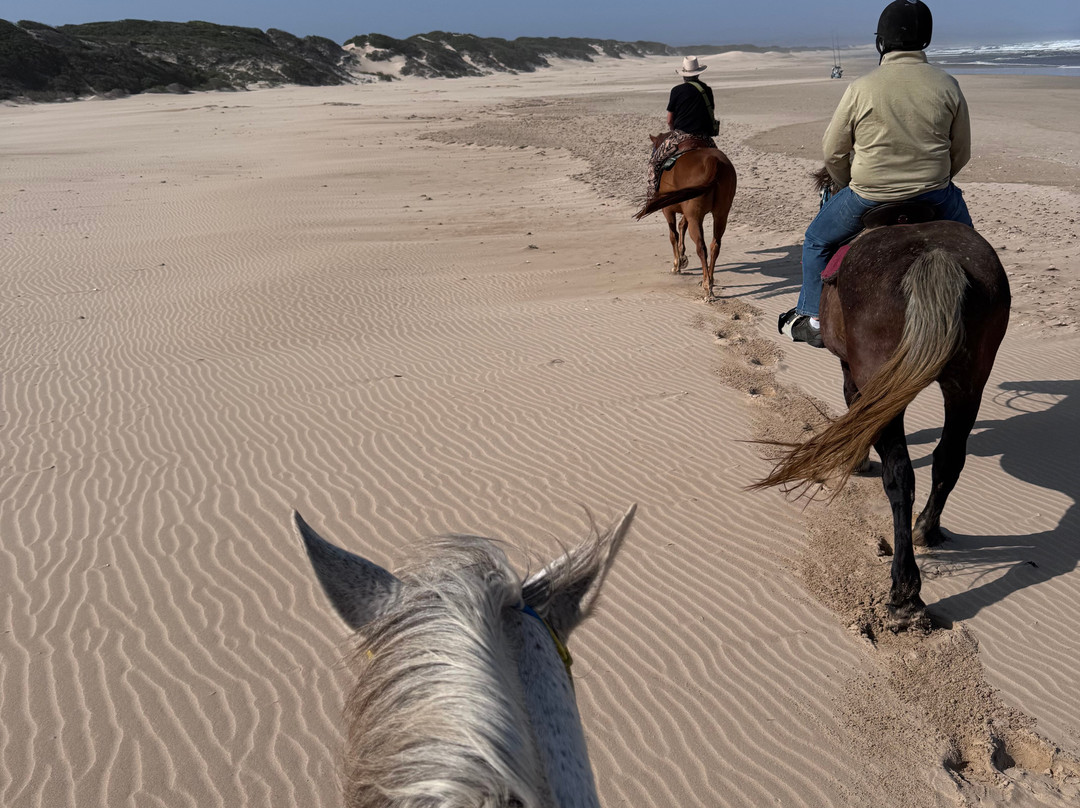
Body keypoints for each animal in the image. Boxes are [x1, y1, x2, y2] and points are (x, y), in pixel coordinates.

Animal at [635, 135, 737, 302]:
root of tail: (713, 161)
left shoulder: (668, 210)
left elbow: (673, 235)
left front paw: (677, 264)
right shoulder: (686, 211)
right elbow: (682, 226)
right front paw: (682, 258)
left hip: (696, 217)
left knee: (701, 247)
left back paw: (707, 286)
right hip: (721, 214)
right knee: (715, 246)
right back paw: (710, 280)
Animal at [753, 173, 1011, 632]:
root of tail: (935, 258)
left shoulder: (852, 375)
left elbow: (856, 416)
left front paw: (857, 463)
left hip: (887, 386)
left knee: (901, 477)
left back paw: (904, 593)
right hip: (968, 384)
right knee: (949, 458)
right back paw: (928, 529)